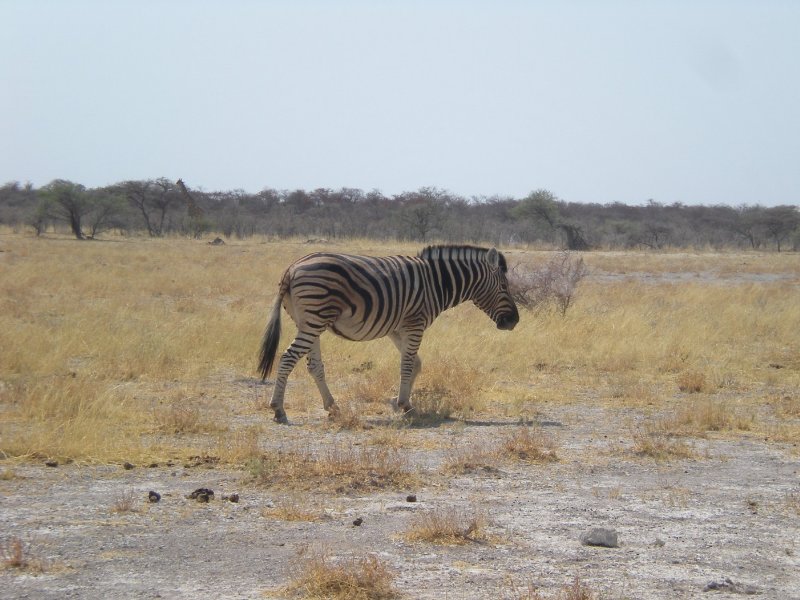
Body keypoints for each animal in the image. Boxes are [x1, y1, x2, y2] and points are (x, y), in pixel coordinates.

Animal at [256, 243, 520, 422]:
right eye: (504, 286)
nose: (515, 321)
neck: (437, 282)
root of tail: (291, 268)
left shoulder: (397, 328)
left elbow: (416, 364)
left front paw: (399, 402)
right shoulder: (415, 323)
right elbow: (408, 364)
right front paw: (404, 404)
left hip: (308, 321)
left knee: (314, 365)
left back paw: (332, 407)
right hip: (314, 318)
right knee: (288, 358)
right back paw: (278, 409)